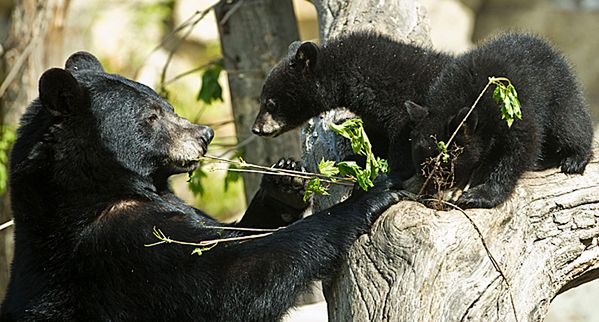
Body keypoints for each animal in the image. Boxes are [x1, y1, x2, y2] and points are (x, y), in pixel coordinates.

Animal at [3, 51, 404, 320]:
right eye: (151, 116)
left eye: (166, 104)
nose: (204, 135)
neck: (95, 186)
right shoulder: (115, 245)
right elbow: (231, 280)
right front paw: (374, 192)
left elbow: (230, 232)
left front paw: (285, 179)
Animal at [251, 31, 452, 179]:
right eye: (261, 99)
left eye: (271, 103)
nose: (257, 128)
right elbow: (374, 136)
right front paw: (357, 158)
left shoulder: (394, 99)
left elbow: (401, 134)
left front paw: (394, 171)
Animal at [406, 32, 592, 209]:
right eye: (421, 167)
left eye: (442, 168)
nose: (427, 192)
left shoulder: (508, 111)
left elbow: (521, 145)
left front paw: (478, 195)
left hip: (556, 90)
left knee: (569, 123)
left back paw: (576, 158)